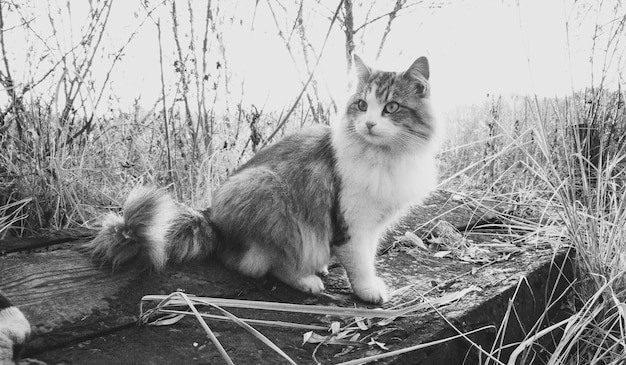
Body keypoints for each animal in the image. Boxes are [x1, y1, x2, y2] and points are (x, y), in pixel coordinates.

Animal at [89, 54, 438, 304]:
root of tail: (213, 219)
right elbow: (361, 263)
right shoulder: (354, 223)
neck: (386, 158)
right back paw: (308, 279)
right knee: (266, 264)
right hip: (271, 194)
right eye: (362, 105)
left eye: (391, 107)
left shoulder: (376, 222)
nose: (368, 124)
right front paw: (369, 291)